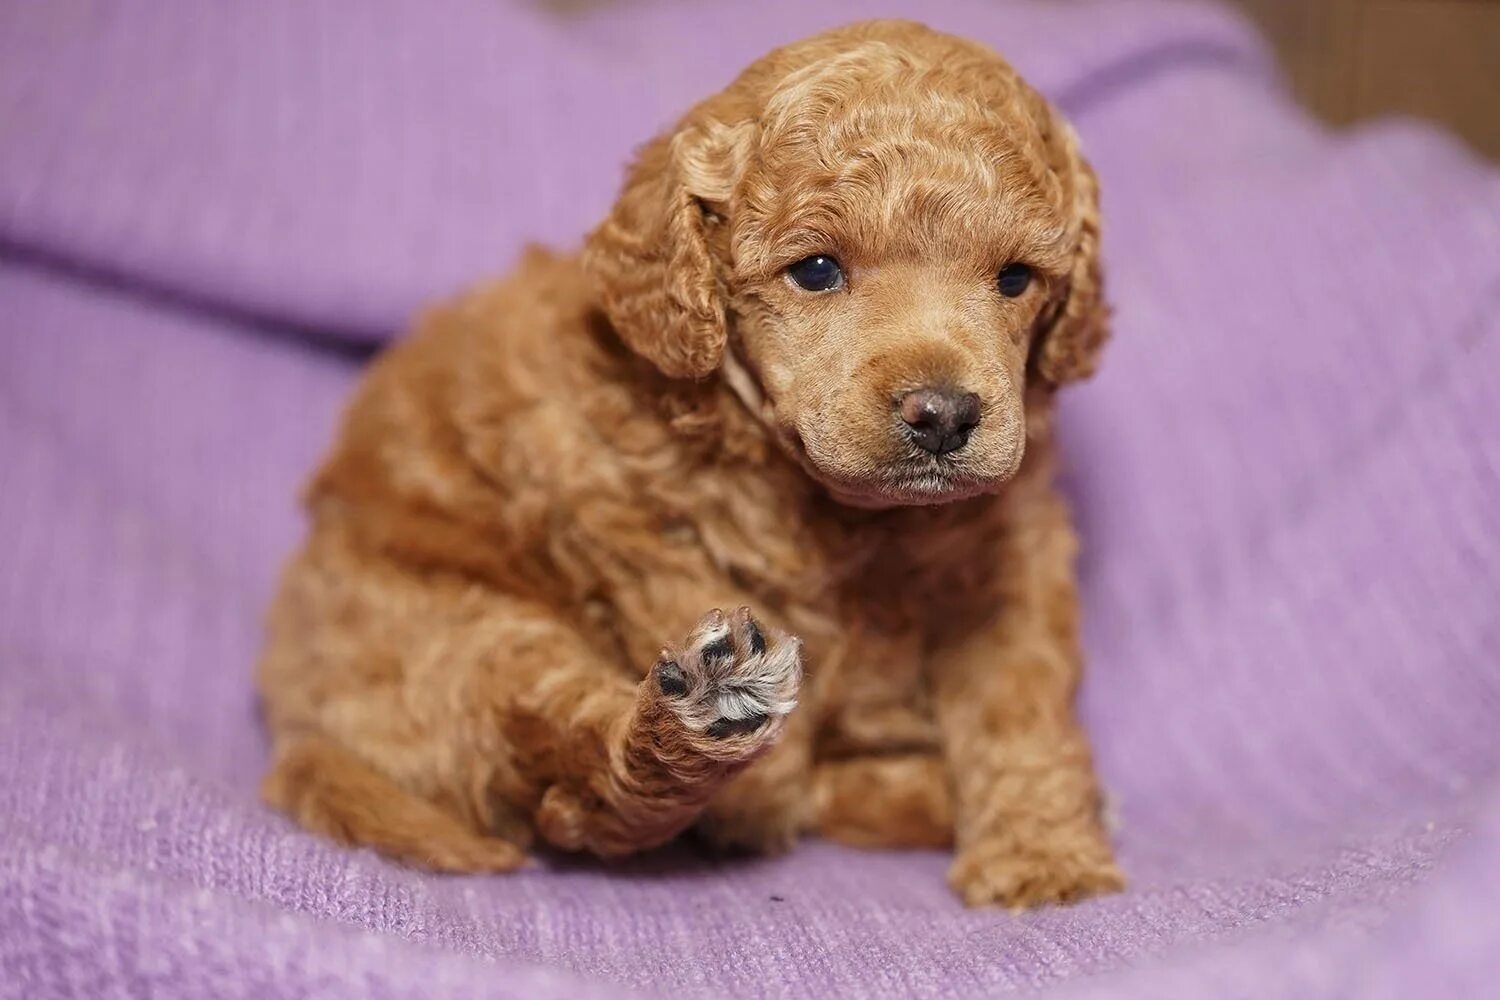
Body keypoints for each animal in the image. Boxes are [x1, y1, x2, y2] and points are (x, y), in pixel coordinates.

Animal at [261, 19, 1128, 911]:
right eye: (817, 269)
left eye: (1016, 279)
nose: (945, 414)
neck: (850, 519)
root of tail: (298, 715)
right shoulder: (629, 525)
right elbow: (763, 763)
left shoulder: (1010, 552)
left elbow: (1018, 702)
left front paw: (1043, 857)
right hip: (464, 636)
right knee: (591, 795)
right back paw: (715, 723)